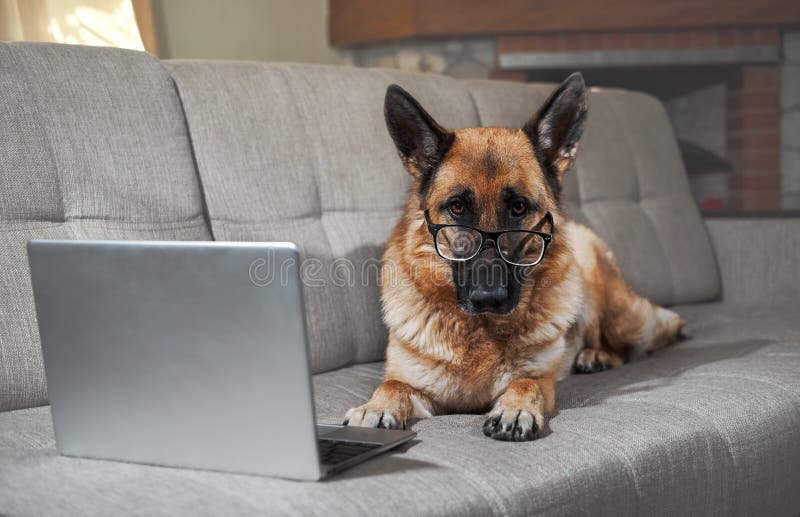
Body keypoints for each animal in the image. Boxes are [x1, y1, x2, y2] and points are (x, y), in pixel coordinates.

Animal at [342, 74, 680, 442]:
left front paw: (516, 410)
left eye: (518, 207)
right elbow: (391, 386)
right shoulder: (417, 386)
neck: (480, 331)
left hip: (621, 317)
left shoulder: (541, 380)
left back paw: (598, 354)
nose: (488, 297)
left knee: (651, 335)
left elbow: (525, 383)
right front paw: (375, 408)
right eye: (457, 207)